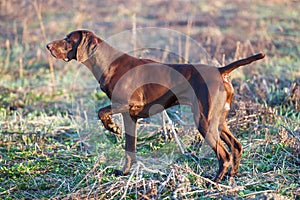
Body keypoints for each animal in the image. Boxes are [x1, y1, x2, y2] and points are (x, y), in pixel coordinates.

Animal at [47, 29, 264, 183]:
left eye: (68, 39)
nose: (48, 46)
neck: (108, 62)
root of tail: (220, 71)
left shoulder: (129, 104)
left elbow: (101, 111)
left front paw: (112, 127)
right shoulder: (130, 116)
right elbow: (130, 148)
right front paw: (125, 172)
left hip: (204, 121)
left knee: (224, 154)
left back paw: (214, 180)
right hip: (218, 121)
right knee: (236, 146)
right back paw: (231, 177)